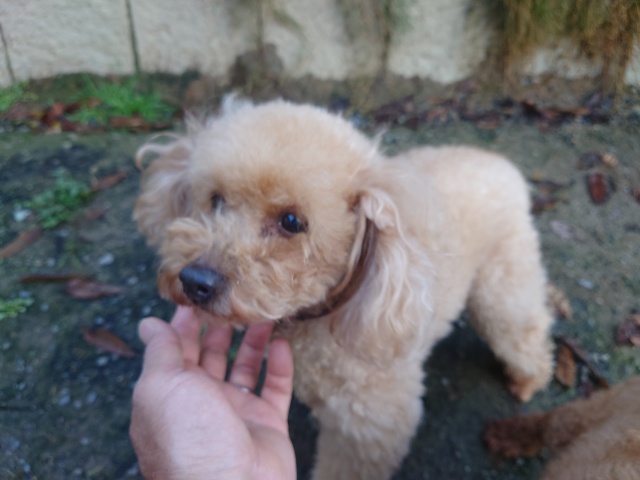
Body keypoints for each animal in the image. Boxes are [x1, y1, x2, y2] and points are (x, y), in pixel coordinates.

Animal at [134, 99, 553, 480]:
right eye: (216, 199)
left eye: (291, 222)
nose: (195, 282)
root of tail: (503, 166)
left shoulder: (369, 427)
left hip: (502, 285)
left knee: (523, 330)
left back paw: (528, 381)